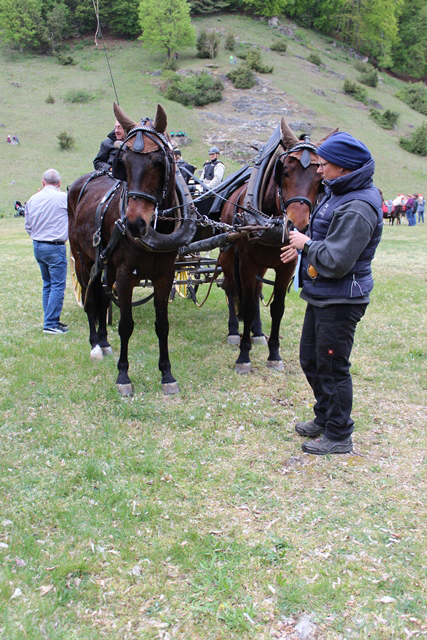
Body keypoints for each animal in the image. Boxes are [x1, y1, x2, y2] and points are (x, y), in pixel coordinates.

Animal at [68, 103, 196, 396]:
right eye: (122, 163)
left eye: (159, 163)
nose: (134, 223)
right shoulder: (126, 275)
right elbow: (126, 325)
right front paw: (123, 376)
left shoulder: (164, 276)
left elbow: (162, 325)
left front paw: (167, 374)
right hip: (83, 262)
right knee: (91, 300)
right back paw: (95, 343)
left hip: (106, 267)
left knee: (103, 299)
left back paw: (104, 342)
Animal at [218, 119, 335, 373]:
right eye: (286, 171)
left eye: (319, 179)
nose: (297, 225)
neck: (270, 223)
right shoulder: (247, 263)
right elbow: (247, 306)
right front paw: (243, 356)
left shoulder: (286, 267)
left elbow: (276, 308)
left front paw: (274, 354)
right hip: (229, 255)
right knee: (232, 289)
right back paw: (233, 330)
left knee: (256, 292)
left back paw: (257, 332)